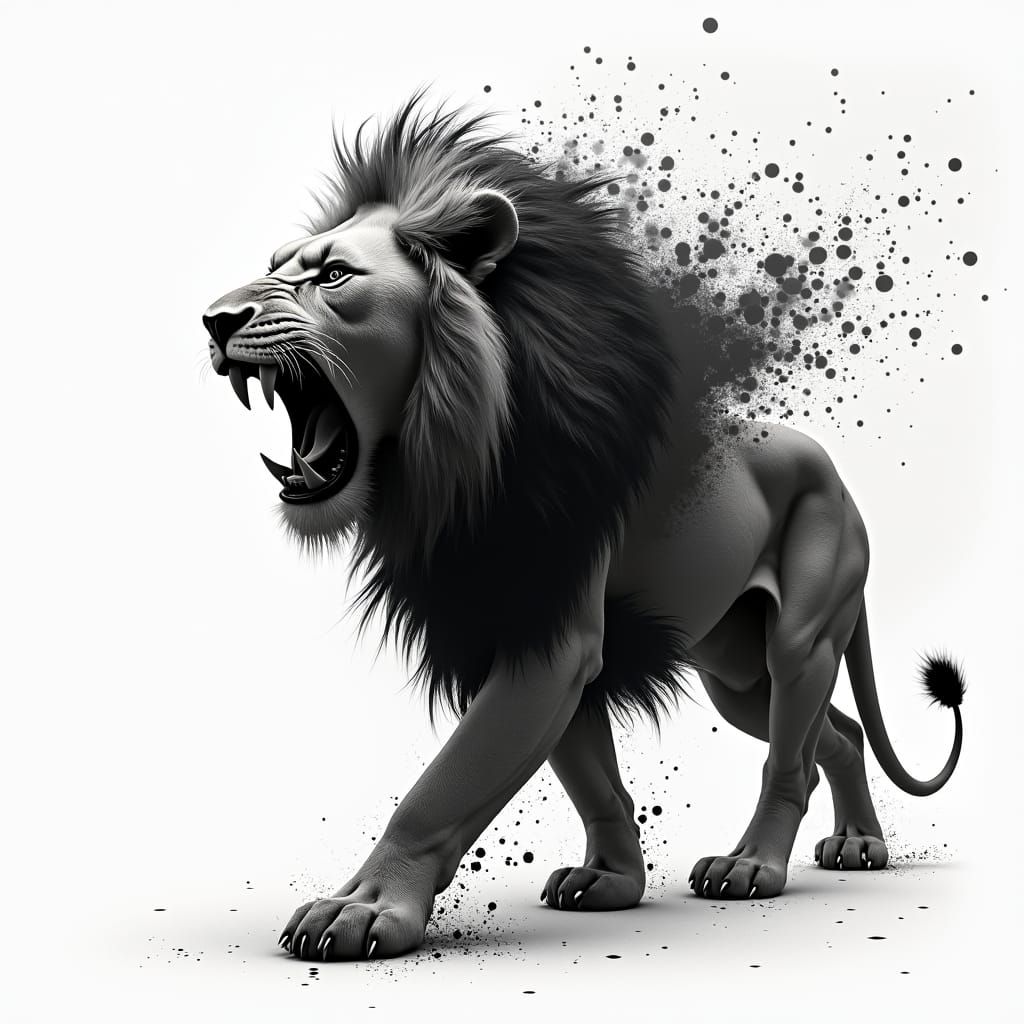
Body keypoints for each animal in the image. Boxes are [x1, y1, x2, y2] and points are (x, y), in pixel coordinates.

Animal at [203, 98, 965, 961]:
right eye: (275, 264)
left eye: (332, 275)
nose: (215, 320)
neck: (449, 466)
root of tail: (835, 473)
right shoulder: (519, 631)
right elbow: (592, 777)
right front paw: (611, 881)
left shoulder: (553, 637)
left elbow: (445, 786)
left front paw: (366, 908)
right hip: (733, 671)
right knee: (832, 733)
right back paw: (861, 844)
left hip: (803, 637)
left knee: (790, 760)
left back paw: (753, 865)